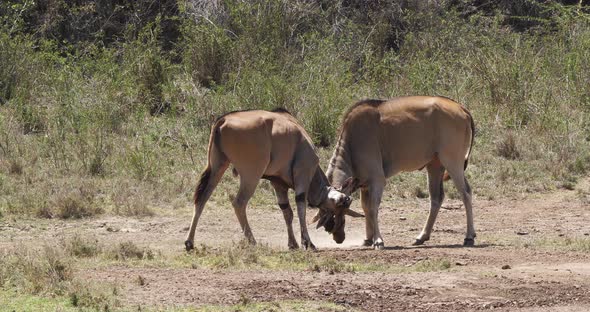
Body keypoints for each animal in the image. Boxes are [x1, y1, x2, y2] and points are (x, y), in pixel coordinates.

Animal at [322, 96, 478, 250]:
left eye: (341, 207)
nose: (337, 236)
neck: (352, 143)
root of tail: (461, 108)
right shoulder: (365, 184)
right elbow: (365, 207)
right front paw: (368, 239)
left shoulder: (377, 180)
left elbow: (372, 208)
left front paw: (378, 241)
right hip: (435, 165)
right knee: (436, 198)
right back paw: (421, 237)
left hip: (453, 162)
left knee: (466, 193)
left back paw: (469, 237)